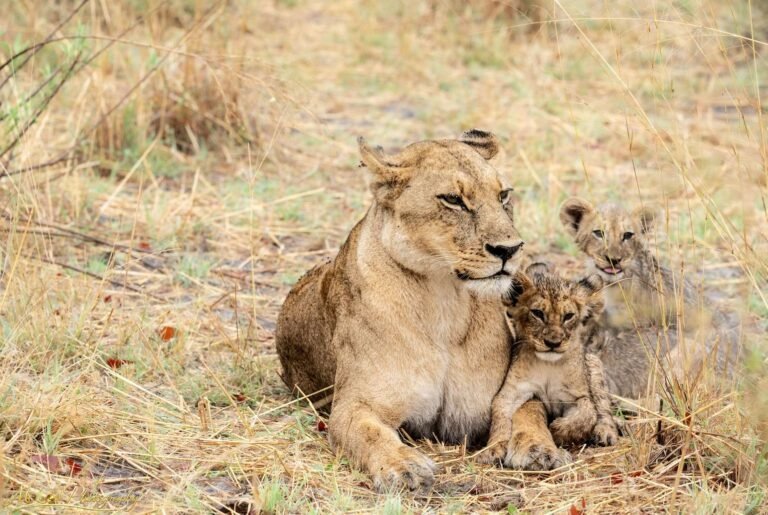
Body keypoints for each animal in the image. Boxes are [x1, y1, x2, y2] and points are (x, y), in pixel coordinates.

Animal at [276, 130, 563, 491]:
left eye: (503, 195)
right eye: (453, 200)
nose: (509, 250)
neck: (444, 301)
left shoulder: (498, 395)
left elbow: (529, 408)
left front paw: (537, 447)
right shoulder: (353, 404)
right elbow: (367, 432)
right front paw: (404, 465)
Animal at [478, 264, 619, 466]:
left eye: (568, 316)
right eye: (537, 313)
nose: (553, 343)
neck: (548, 365)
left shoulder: (577, 394)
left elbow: (587, 413)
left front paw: (558, 429)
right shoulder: (512, 392)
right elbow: (499, 417)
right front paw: (494, 448)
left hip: (593, 365)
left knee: (603, 407)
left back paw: (605, 433)